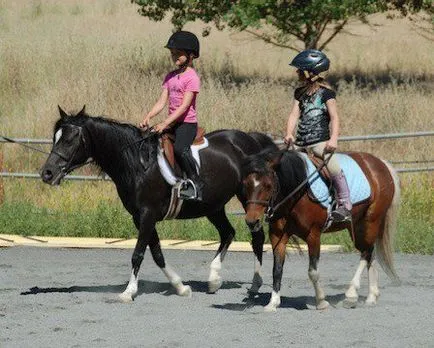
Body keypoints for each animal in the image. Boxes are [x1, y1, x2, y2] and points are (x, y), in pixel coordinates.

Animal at [41, 106, 278, 302]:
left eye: (70, 140)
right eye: (55, 138)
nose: (47, 173)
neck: (137, 162)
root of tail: (250, 139)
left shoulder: (148, 214)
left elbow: (138, 254)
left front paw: (128, 292)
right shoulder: (140, 217)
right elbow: (156, 254)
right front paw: (181, 287)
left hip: (249, 198)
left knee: (256, 236)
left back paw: (254, 284)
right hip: (213, 206)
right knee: (228, 233)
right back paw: (214, 280)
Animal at [241, 148, 400, 312]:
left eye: (268, 185)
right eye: (246, 184)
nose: (252, 221)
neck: (298, 193)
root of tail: (381, 164)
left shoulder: (313, 235)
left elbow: (313, 271)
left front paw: (321, 301)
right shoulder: (277, 235)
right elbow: (277, 270)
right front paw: (273, 303)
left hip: (371, 221)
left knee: (366, 252)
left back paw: (351, 295)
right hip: (357, 226)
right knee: (369, 252)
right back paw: (371, 296)